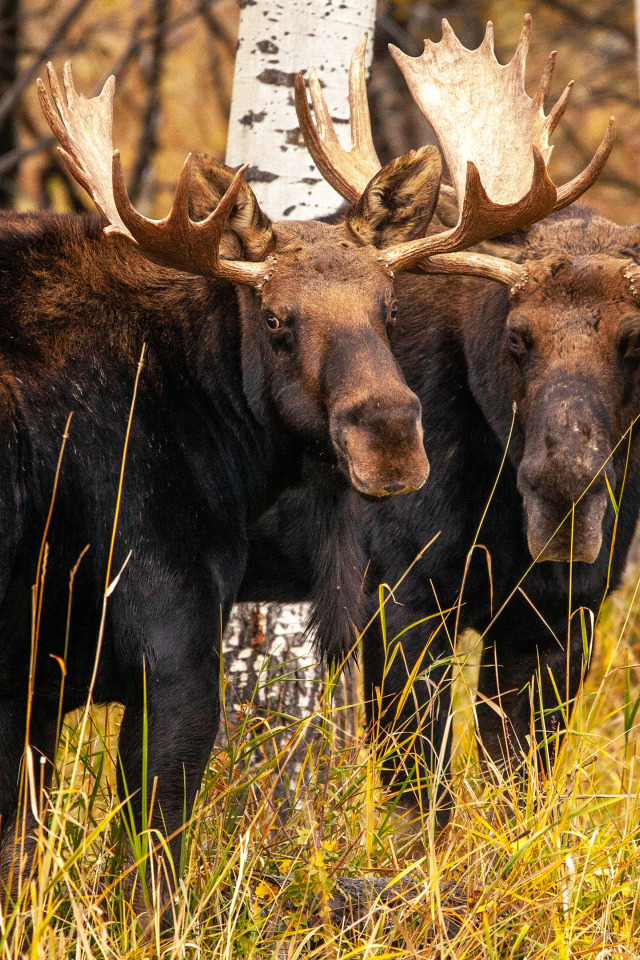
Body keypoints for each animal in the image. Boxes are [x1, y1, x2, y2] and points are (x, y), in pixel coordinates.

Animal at [241, 20, 640, 816]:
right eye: (517, 335)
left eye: (634, 339)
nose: (562, 485)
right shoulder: (395, 597)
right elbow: (421, 797)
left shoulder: (562, 615)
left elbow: (517, 789)